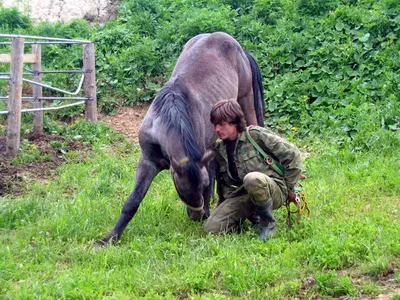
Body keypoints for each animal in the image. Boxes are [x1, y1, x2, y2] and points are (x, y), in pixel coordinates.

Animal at [97, 31, 266, 245]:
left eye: (201, 186)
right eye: (181, 189)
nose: (197, 216)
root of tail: (240, 49)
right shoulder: (148, 162)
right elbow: (132, 201)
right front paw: (109, 238)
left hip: (245, 102)